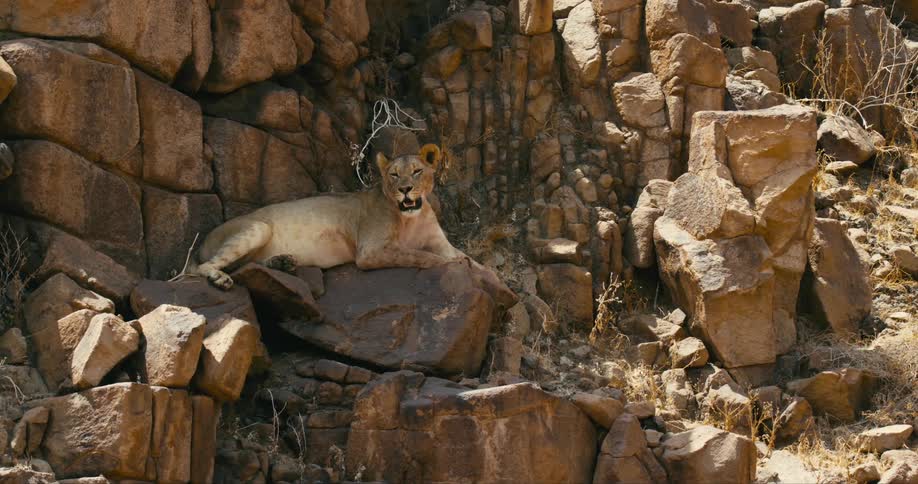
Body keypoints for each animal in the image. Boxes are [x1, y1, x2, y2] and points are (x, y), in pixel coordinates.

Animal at [193, 144, 473, 290]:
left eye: (416, 171)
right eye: (394, 175)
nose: (405, 189)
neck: (412, 217)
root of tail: (203, 239)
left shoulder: (439, 241)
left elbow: (467, 259)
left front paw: (470, 265)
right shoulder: (370, 251)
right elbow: (422, 256)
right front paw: (453, 264)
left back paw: (282, 262)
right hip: (258, 227)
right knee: (201, 268)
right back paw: (219, 278)